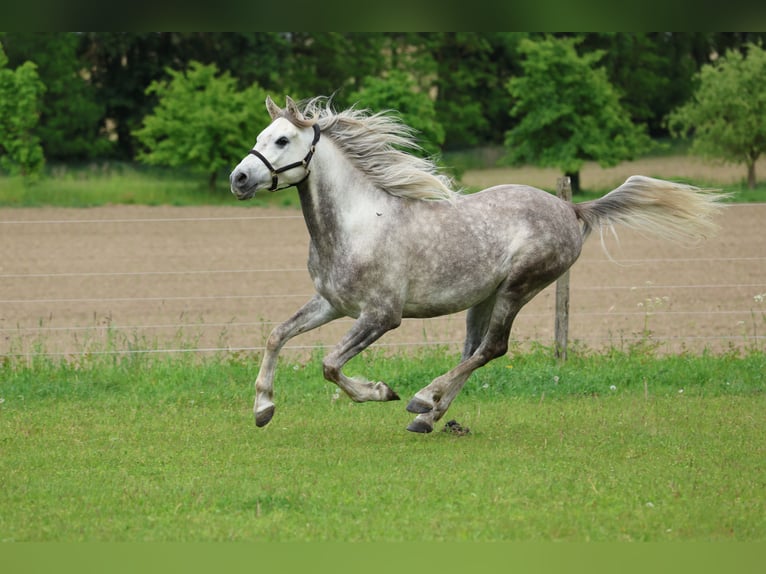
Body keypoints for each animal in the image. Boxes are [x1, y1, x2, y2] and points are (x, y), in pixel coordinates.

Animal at [230, 96, 727, 433]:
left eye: (282, 139)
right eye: (258, 138)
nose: (239, 178)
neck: (357, 224)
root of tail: (573, 210)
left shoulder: (381, 316)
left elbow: (330, 364)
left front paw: (380, 392)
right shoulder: (331, 304)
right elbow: (276, 335)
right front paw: (263, 409)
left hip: (518, 289)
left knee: (492, 349)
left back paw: (420, 400)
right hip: (483, 298)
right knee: (473, 351)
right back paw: (430, 415)